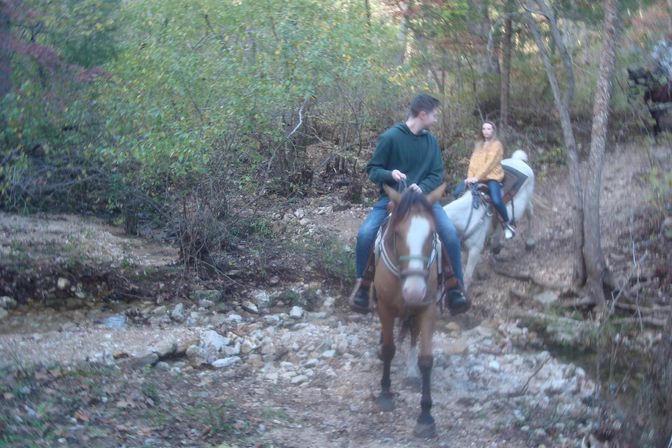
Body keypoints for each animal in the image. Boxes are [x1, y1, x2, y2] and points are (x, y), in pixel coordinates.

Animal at [372, 182, 446, 438]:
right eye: (397, 234)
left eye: (432, 234)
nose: (414, 290)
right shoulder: (384, 307)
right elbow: (389, 349)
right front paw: (385, 394)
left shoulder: (427, 308)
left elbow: (426, 359)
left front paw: (425, 416)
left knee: (413, 335)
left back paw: (411, 372)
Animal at [440, 150, 536, 290]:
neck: (464, 218)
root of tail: (518, 160)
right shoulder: (464, 248)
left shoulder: (475, 248)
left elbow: (467, 275)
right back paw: (496, 246)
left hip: (527, 200)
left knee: (530, 215)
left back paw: (529, 242)